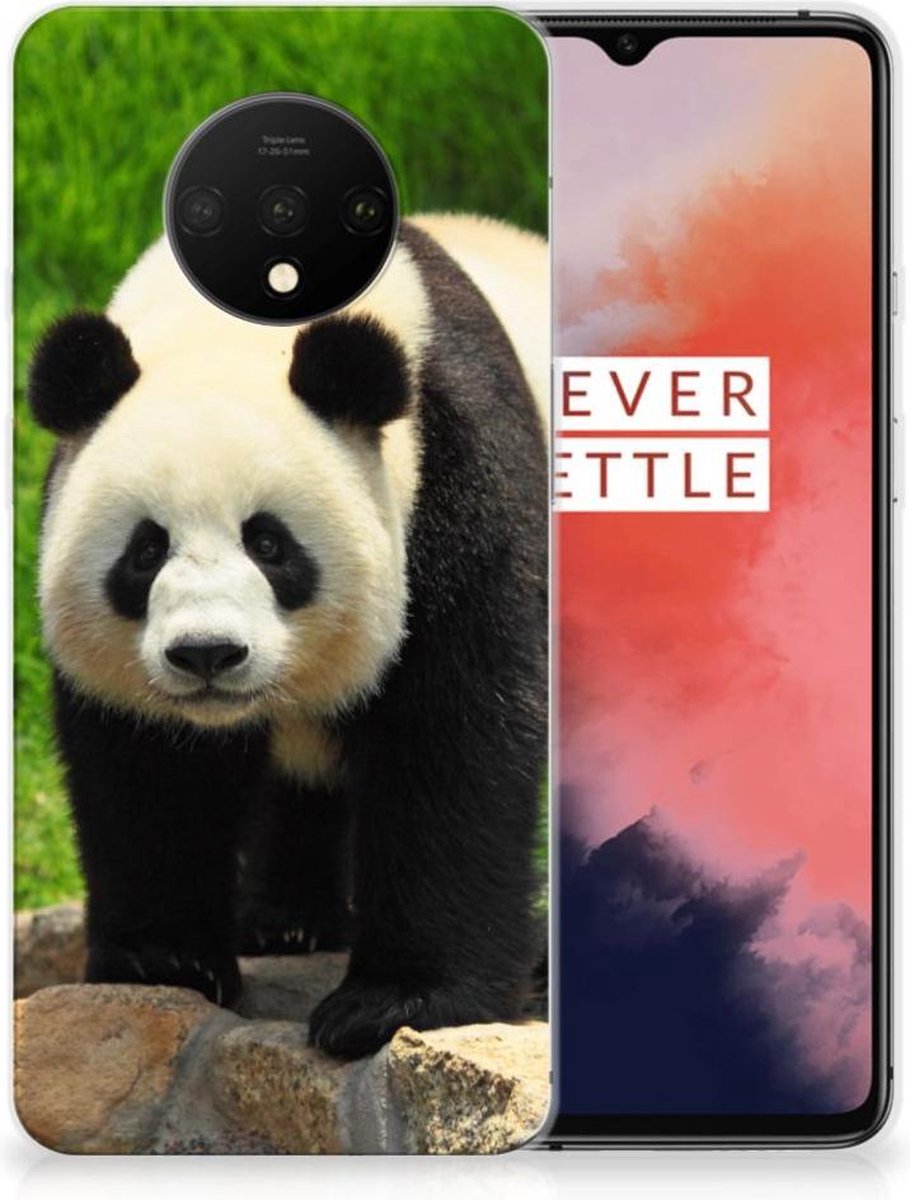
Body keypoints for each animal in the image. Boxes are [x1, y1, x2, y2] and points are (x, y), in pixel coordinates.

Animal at [28, 215, 548, 1059]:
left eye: (270, 544)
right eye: (146, 550)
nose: (207, 654)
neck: (235, 328)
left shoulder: (458, 477)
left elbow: (454, 737)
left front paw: (394, 1003)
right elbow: (149, 768)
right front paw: (164, 961)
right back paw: (286, 921)